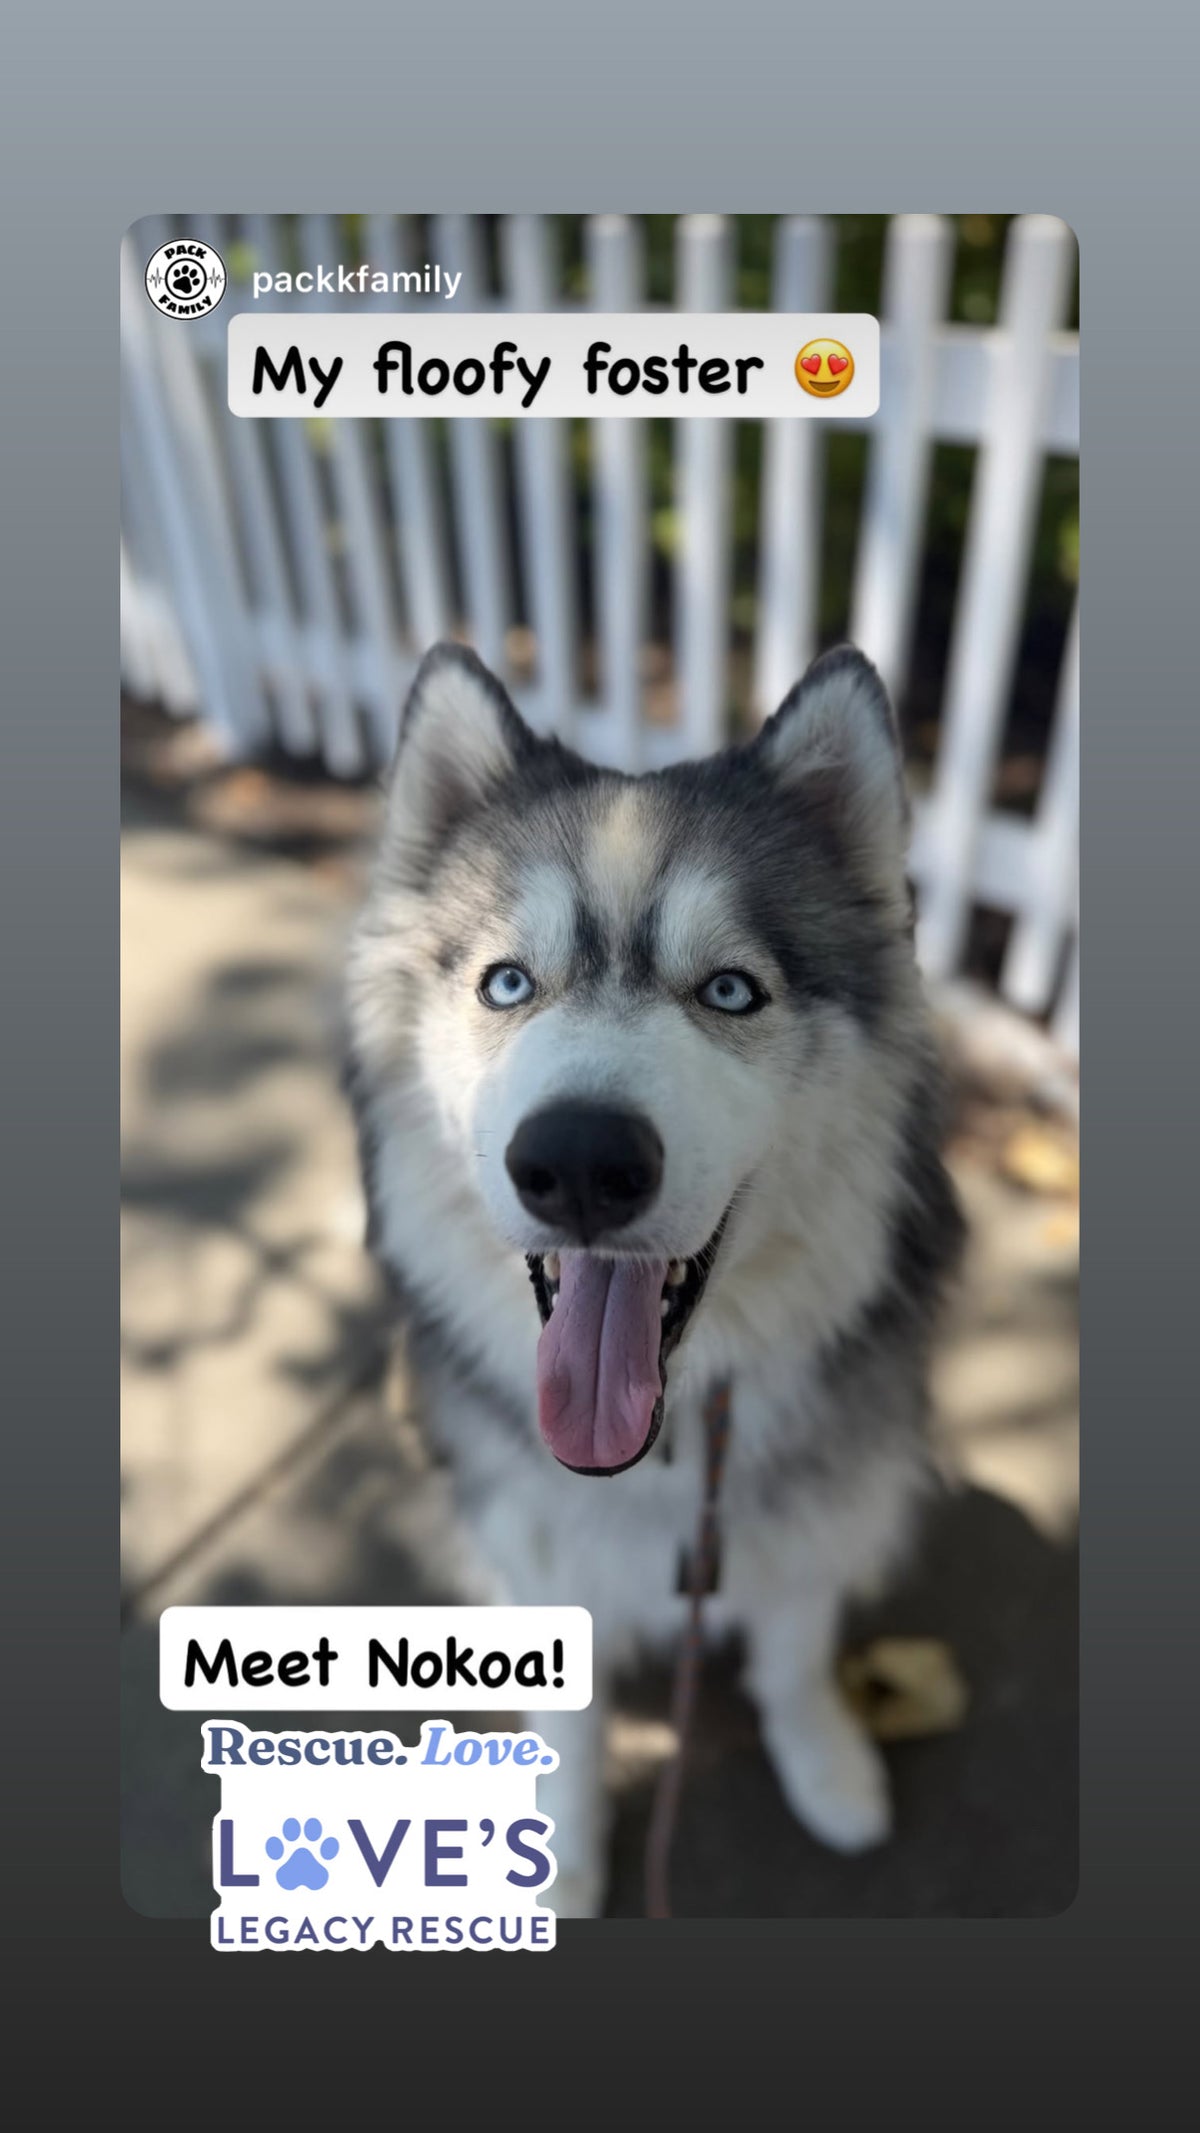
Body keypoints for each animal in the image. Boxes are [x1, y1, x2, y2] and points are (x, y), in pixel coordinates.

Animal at [344, 639, 965, 1916]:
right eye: (507, 984)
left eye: (730, 990)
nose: (580, 1163)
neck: (666, 1445)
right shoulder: (537, 1547)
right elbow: (571, 1716)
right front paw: (563, 1844)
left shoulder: (817, 1508)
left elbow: (794, 1645)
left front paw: (825, 1763)